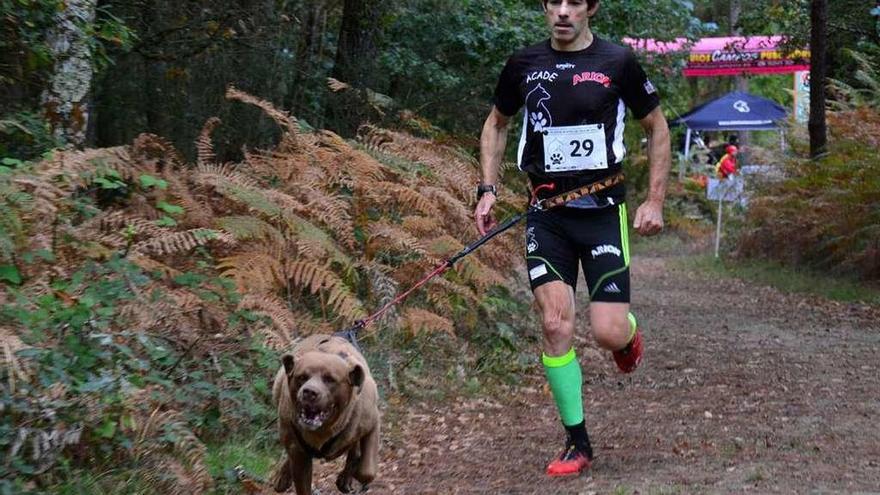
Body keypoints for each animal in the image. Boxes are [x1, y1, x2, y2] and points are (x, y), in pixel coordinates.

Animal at [268, 336, 378, 494]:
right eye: (302, 377)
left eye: (330, 379)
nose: (309, 392)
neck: (324, 430)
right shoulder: (300, 456)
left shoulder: (372, 421)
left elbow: (367, 472)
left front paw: (353, 473)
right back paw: (283, 476)